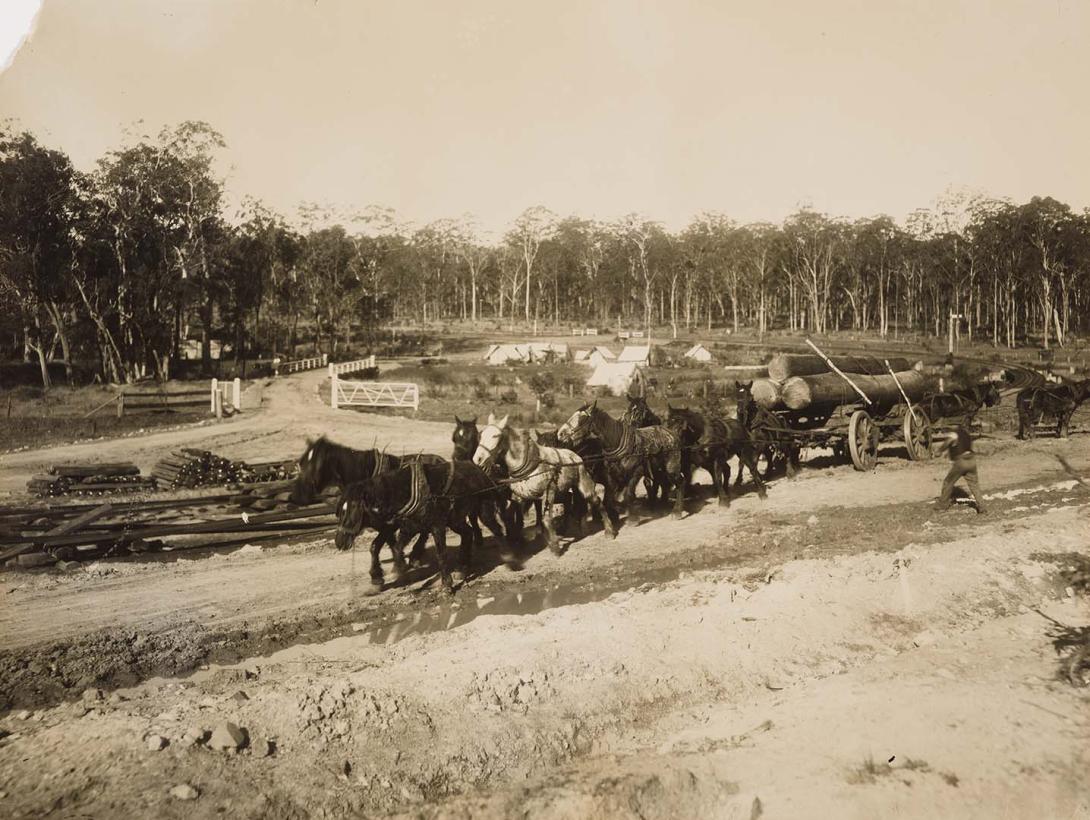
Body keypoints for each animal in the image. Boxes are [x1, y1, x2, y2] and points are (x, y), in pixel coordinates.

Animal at [335, 462, 510, 597]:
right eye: (340, 510)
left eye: (351, 509)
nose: (339, 541)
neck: (406, 491)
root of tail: (480, 471)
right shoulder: (401, 525)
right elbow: (383, 547)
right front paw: (381, 578)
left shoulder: (436, 526)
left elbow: (440, 553)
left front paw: (446, 586)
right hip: (455, 520)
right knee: (468, 533)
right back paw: (462, 567)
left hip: (483, 511)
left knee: (496, 529)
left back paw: (507, 556)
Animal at [475, 412, 619, 553]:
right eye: (480, 435)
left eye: (496, 435)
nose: (477, 459)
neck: (531, 465)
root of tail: (575, 455)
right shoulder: (520, 497)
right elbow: (514, 517)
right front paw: (517, 540)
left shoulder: (548, 494)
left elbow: (546, 519)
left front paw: (554, 545)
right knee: (571, 499)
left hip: (584, 485)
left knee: (596, 501)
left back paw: (609, 530)